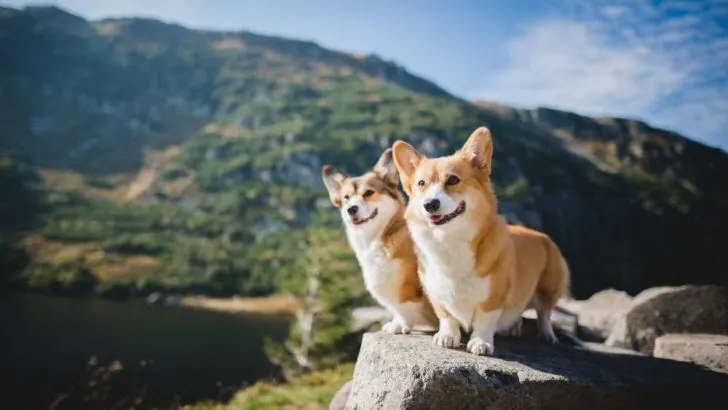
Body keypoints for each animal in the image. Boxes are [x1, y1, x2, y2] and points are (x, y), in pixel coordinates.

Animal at [321, 149, 438, 334]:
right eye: (346, 198)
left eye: (368, 193)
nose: (351, 209)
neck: (380, 236)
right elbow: (396, 309)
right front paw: (395, 323)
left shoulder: (407, 287)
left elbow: (404, 307)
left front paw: (400, 325)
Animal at [391, 127, 570, 355]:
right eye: (421, 184)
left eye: (453, 180)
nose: (430, 204)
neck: (450, 241)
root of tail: (542, 235)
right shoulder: (436, 293)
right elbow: (446, 316)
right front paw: (447, 336)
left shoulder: (493, 297)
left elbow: (485, 320)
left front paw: (480, 342)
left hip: (549, 286)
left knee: (544, 313)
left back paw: (547, 335)